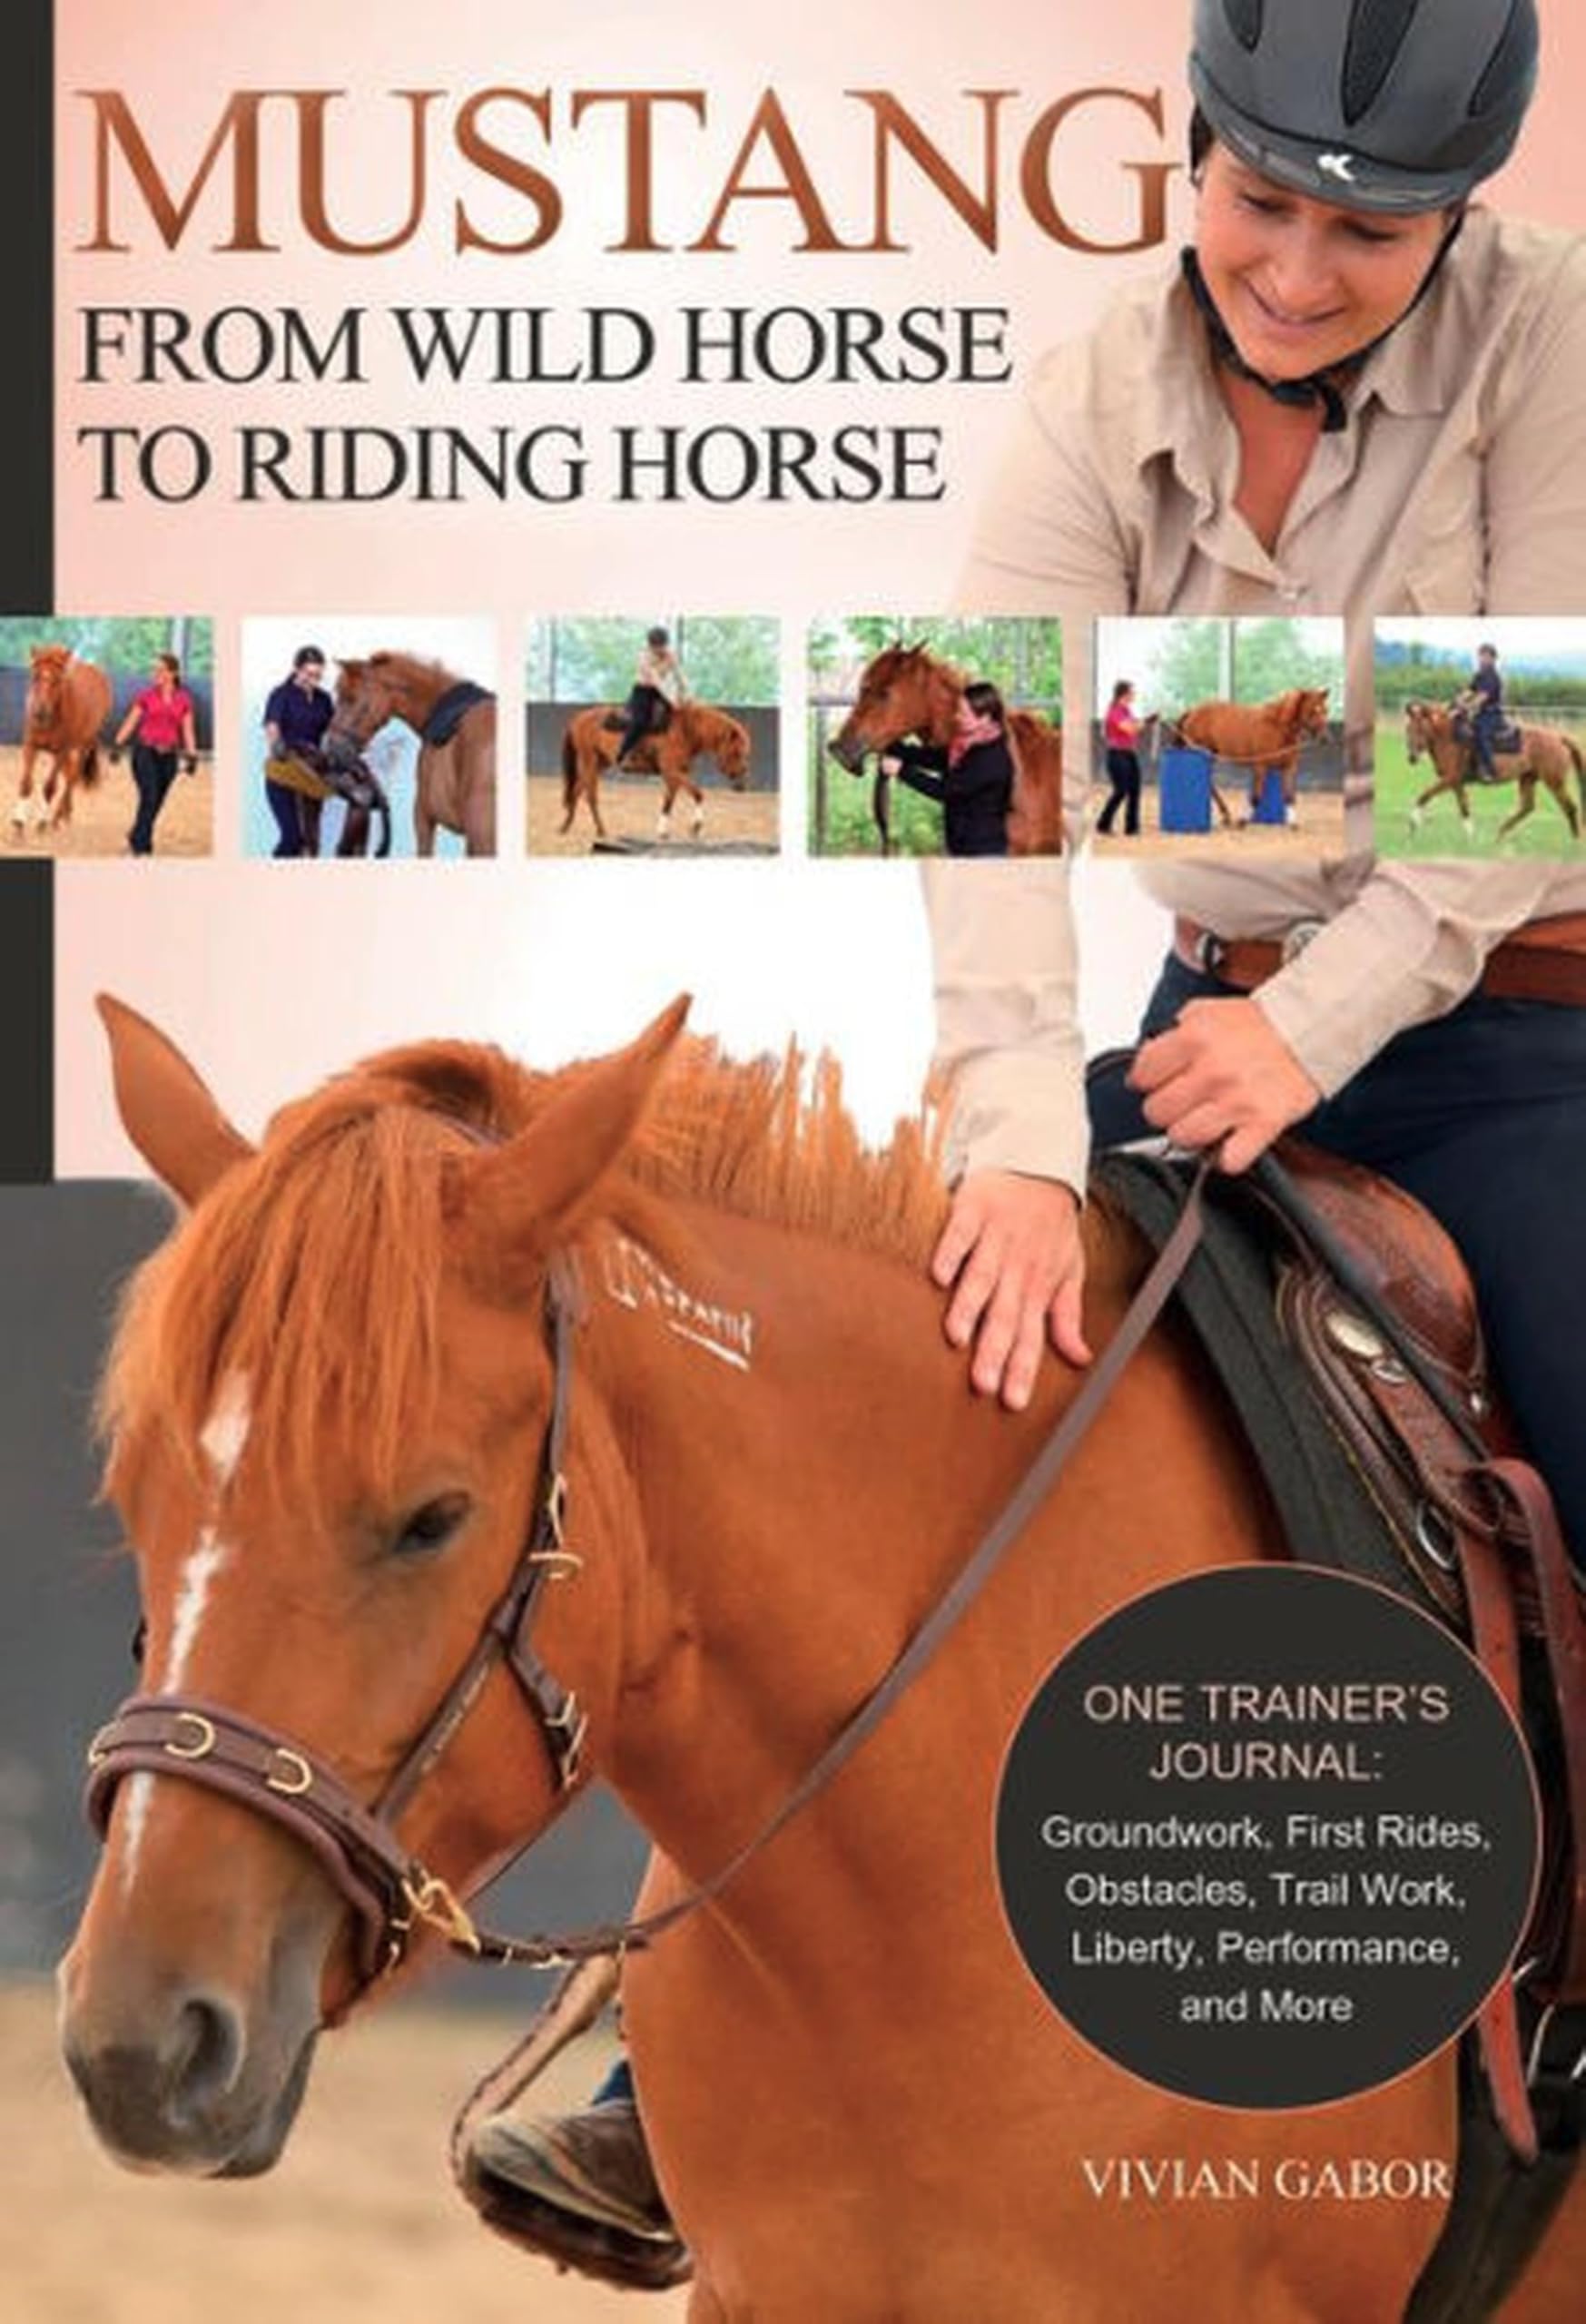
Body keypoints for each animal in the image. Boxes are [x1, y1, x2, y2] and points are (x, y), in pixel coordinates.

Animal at [12, 645, 112, 836]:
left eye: (58, 680)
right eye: (35, 676)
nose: (40, 712)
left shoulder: (61, 750)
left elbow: (50, 786)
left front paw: (41, 824)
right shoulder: (30, 746)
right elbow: (25, 783)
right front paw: (18, 823)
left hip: (82, 746)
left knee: (73, 777)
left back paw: (57, 818)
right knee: (70, 774)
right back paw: (65, 814)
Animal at [560, 702, 751, 842]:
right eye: (736, 752)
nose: (741, 785)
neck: (684, 730)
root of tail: (579, 719)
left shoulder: (675, 775)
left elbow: (668, 802)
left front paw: (663, 832)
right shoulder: (672, 771)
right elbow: (698, 793)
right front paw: (696, 827)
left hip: (600, 763)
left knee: (576, 792)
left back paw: (565, 827)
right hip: (589, 761)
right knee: (590, 796)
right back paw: (600, 830)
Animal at [1173, 688, 1332, 823]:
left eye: (1325, 710)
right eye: (1312, 711)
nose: (1325, 739)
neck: (1277, 728)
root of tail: (1193, 711)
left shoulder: (1289, 767)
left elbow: (1289, 796)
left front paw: (1293, 823)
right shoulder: (1260, 767)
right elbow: (1256, 796)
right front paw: (1243, 821)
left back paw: (1226, 814)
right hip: (1204, 755)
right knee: (1210, 783)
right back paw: (1226, 814)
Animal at [1404, 700, 1584, 844]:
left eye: (1421, 728)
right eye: (1408, 729)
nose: (1412, 758)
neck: (1450, 739)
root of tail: (1559, 738)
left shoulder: (1449, 779)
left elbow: (1424, 796)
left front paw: (1412, 824)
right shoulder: (1456, 782)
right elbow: (1464, 807)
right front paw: (1471, 836)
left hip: (1554, 781)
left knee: (1570, 807)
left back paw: (1575, 841)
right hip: (1528, 778)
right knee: (1527, 807)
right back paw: (1500, 834)